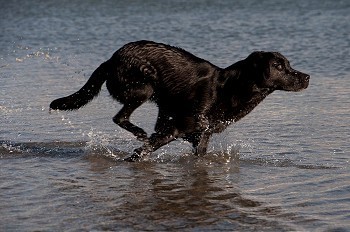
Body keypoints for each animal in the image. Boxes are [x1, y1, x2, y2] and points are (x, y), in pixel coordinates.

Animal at [50, 40, 308, 161]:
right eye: (278, 66)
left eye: (289, 64)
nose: (307, 77)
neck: (227, 89)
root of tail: (111, 60)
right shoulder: (174, 128)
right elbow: (143, 150)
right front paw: (133, 157)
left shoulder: (200, 138)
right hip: (143, 87)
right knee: (120, 117)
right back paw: (139, 132)